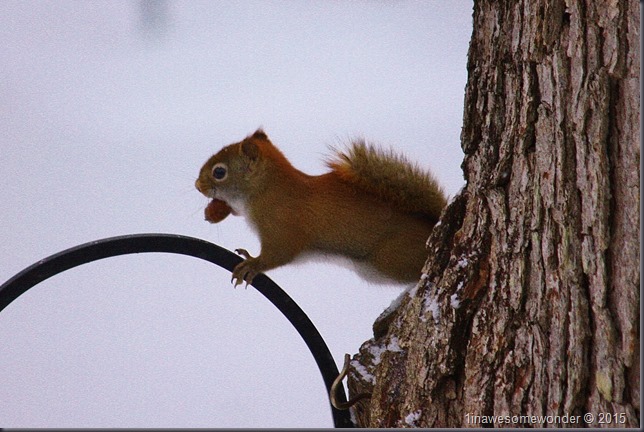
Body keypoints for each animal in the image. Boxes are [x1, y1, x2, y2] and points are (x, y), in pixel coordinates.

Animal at [195, 129, 447, 286]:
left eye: (219, 172)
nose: (197, 185)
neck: (267, 189)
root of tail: (431, 227)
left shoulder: (282, 225)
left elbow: (278, 254)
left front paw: (252, 263)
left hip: (393, 259)